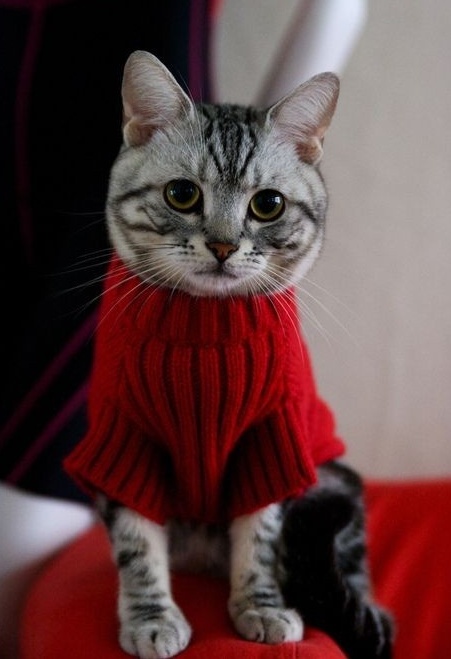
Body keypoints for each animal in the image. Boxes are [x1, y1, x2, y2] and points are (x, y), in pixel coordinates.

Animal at [62, 51, 392, 659]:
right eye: (182, 194)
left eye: (269, 205)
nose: (221, 245)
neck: (204, 331)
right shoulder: (125, 443)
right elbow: (136, 545)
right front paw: (151, 617)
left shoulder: (272, 442)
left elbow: (260, 537)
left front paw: (260, 607)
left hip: (332, 480)